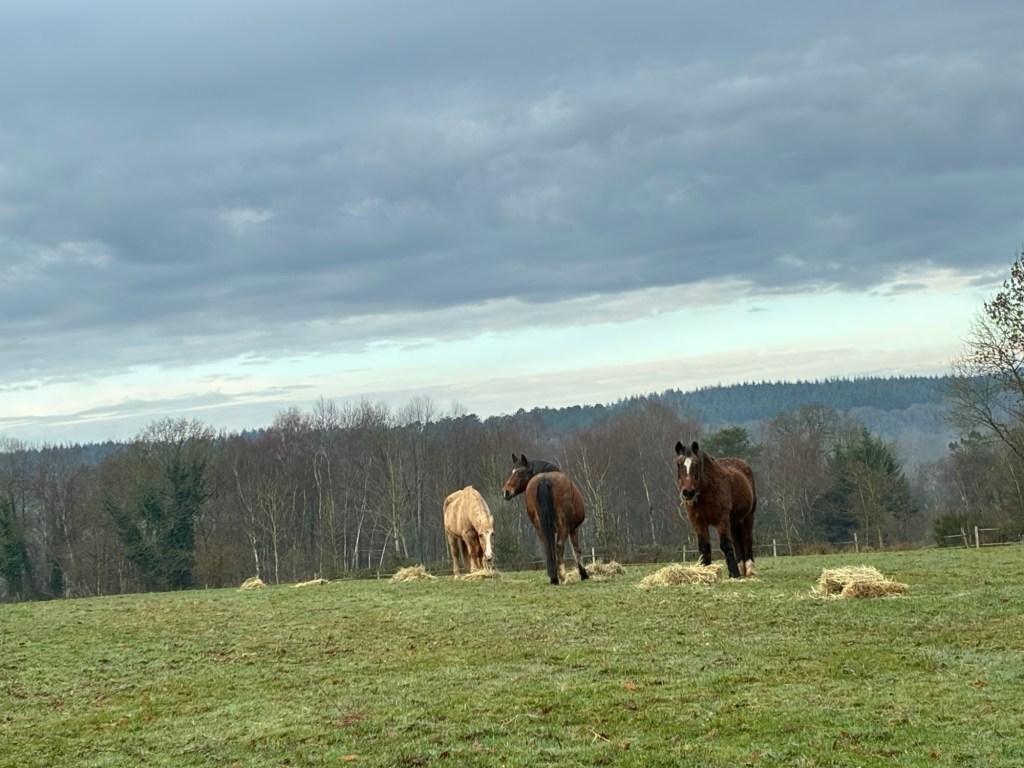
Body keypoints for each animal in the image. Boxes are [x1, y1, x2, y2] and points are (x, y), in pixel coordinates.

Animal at [673, 440, 757, 578]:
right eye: (679, 464)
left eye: (696, 464)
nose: (688, 492)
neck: (707, 490)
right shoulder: (698, 523)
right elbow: (704, 547)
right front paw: (705, 571)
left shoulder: (721, 520)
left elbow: (725, 545)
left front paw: (734, 573)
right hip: (734, 521)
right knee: (737, 542)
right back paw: (742, 568)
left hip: (748, 516)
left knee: (747, 539)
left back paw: (750, 570)